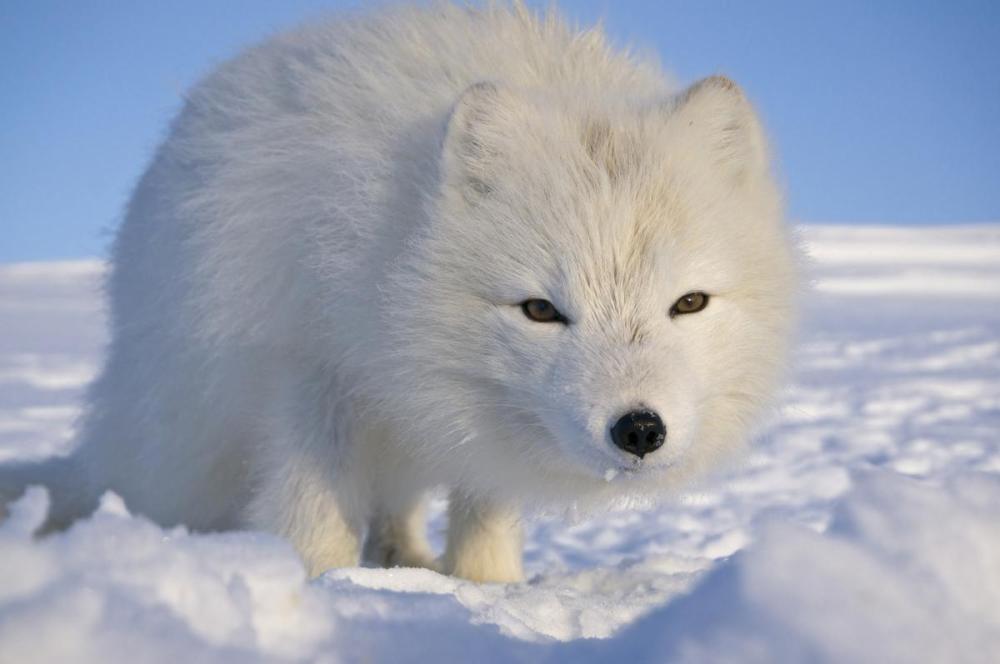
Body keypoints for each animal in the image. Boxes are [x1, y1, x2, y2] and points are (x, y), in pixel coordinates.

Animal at [0, 1, 798, 582]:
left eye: (688, 303)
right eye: (541, 310)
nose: (637, 430)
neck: (385, 252)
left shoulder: (479, 415)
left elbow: (484, 506)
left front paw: (488, 590)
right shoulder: (308, 365)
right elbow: (312, 502)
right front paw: (320, 588)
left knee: (398, 506)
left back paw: (406, 560)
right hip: (188, 430)